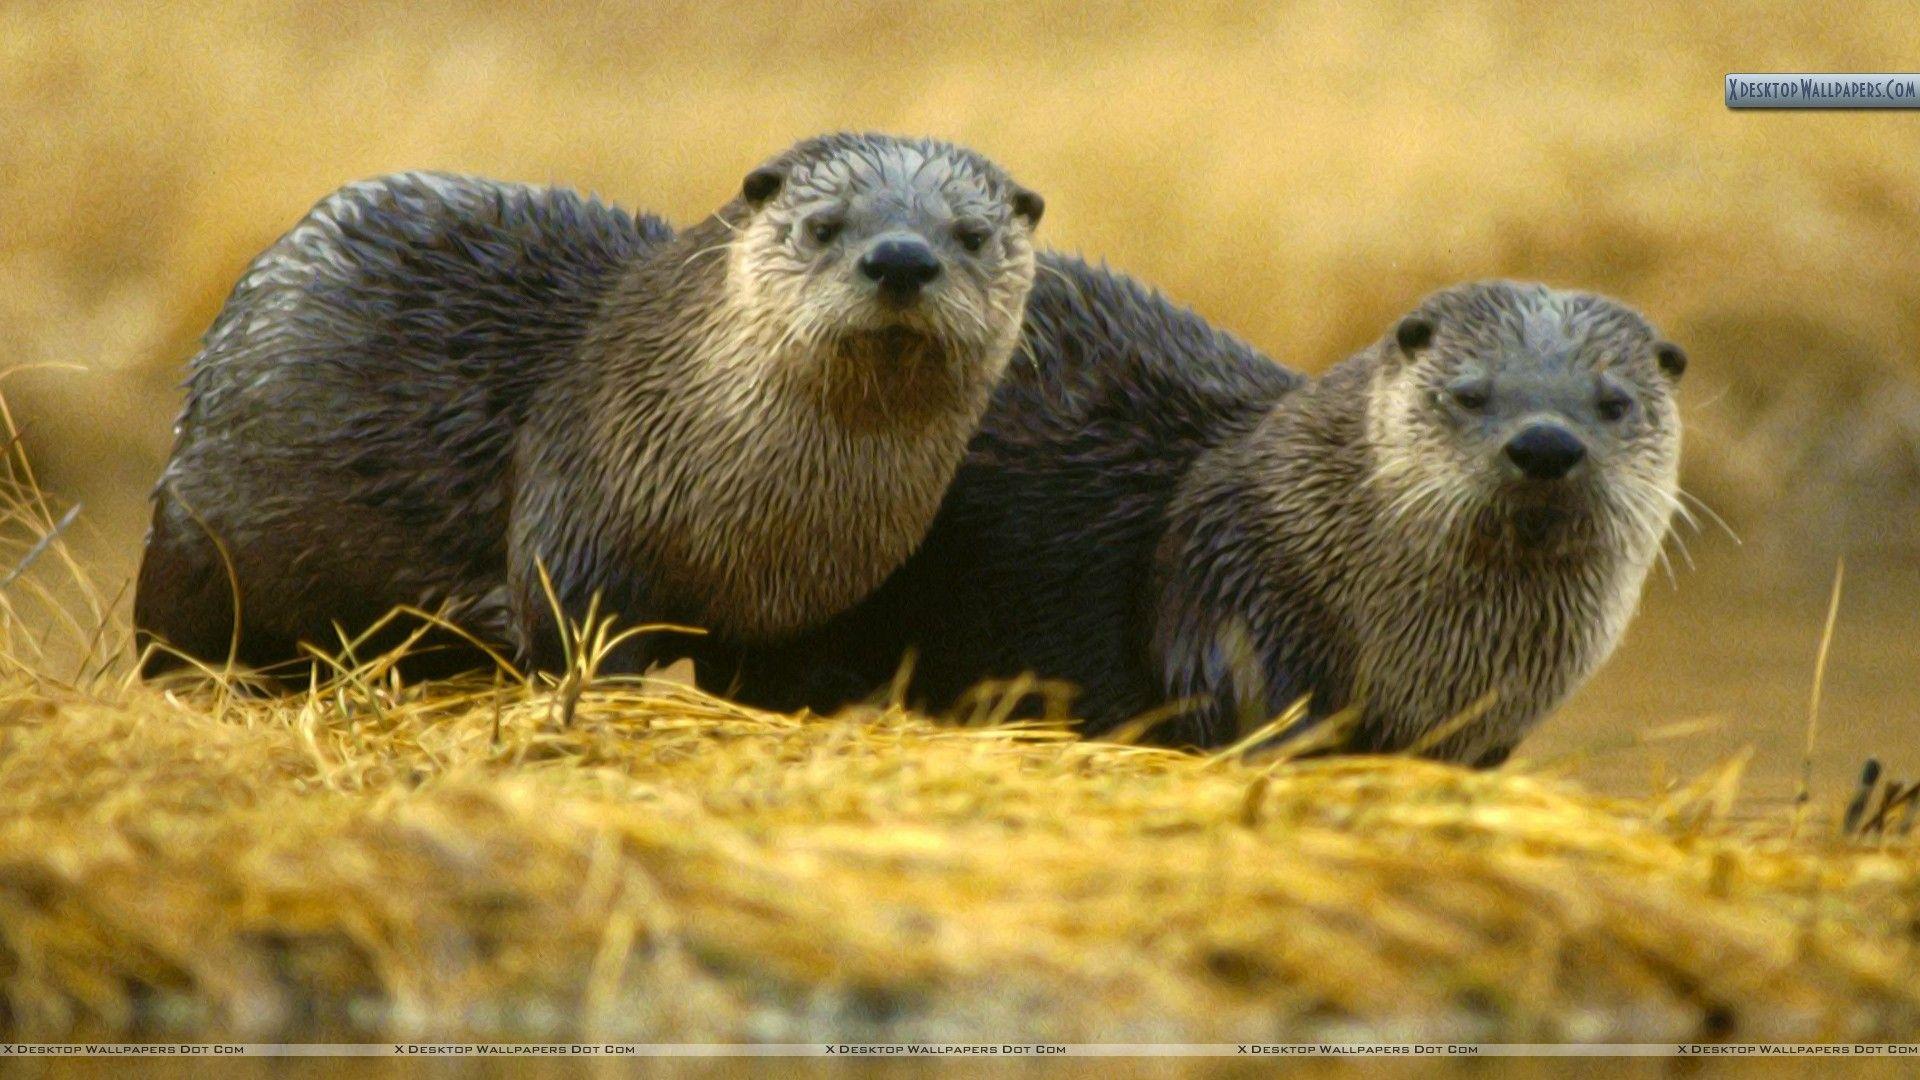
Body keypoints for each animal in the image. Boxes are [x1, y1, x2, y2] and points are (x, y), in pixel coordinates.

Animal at [134, 133, 1044, 678]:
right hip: (193, 539)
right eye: (825, 224)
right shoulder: (578, 509)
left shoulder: (806, 612)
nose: (901, 258)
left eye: (971, 235)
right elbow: (572, 636)